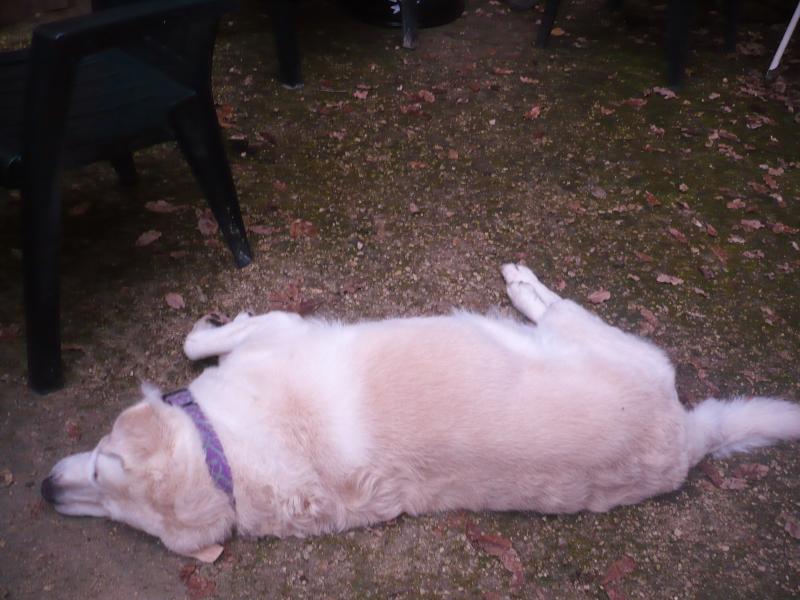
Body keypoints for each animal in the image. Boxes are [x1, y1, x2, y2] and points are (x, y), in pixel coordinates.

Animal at [42, 264, 800, 562]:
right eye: (121, 520)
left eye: (103, 464)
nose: (47, 491)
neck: (225, 459)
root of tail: (687, 439)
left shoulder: (279, 328)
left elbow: (199, 341)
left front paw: (202, 331)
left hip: (594, 336)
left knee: (555, 305)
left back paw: (523, 286)